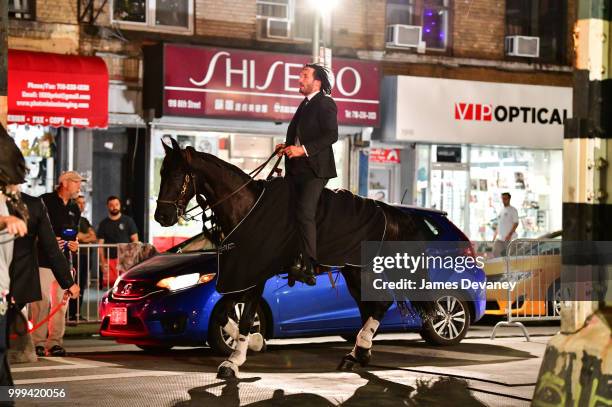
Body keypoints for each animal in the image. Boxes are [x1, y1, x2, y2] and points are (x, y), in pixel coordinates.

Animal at [154, 139, 430, 380]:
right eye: (161, 173)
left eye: (176, 175)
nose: (161, 216)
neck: (245, 207)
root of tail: (385, 210)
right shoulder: (240, 274)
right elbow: (224, 315)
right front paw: (255, 343)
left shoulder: (254, 275)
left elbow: (245, 317)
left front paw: (234, 360)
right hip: (353, 271)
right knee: (367, 306)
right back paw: (357, 354)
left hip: (361, 270)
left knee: (380, 304)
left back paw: (360, 349)